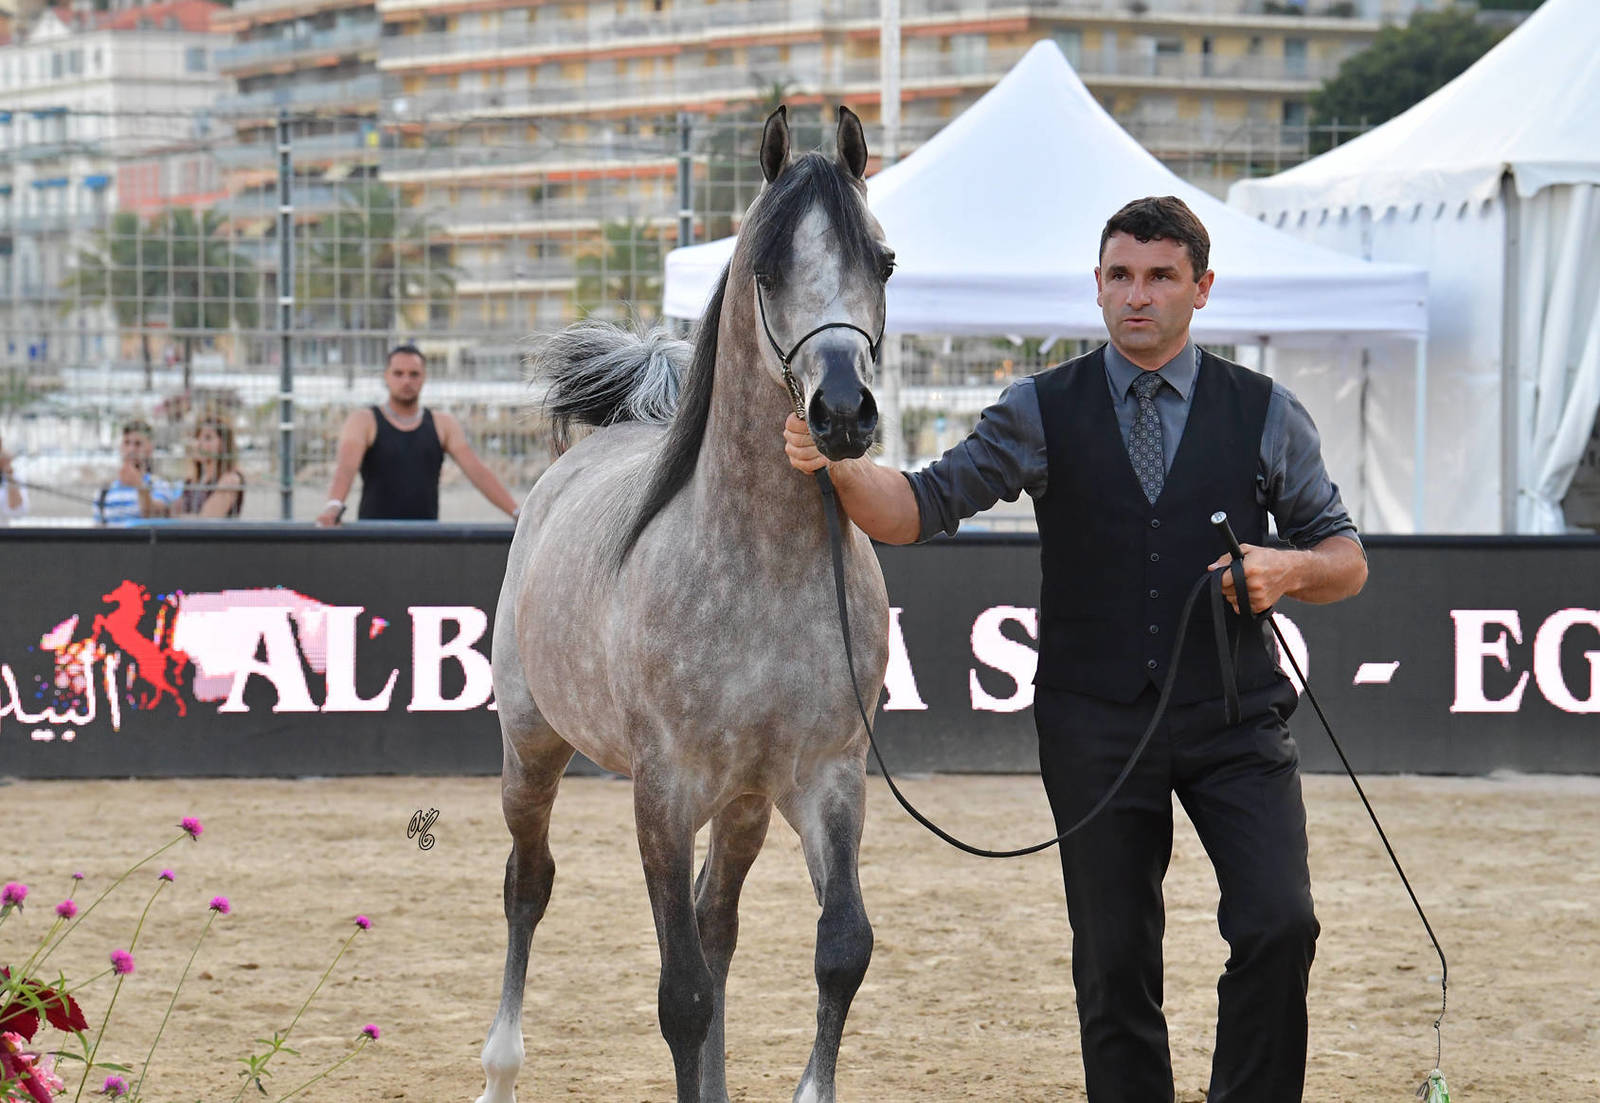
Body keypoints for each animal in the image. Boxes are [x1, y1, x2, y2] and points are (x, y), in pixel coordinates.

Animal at [476, 105, 894, 1103]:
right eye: (764, 268)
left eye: (885, 262)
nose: (844, 413)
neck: (762, 572)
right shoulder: (660, 793)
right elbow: (683, 995)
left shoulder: (827, 776)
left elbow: (840, 949)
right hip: (531, 750)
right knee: (528, 882)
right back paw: (499, 1069)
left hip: (742, 805)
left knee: (718, 921)